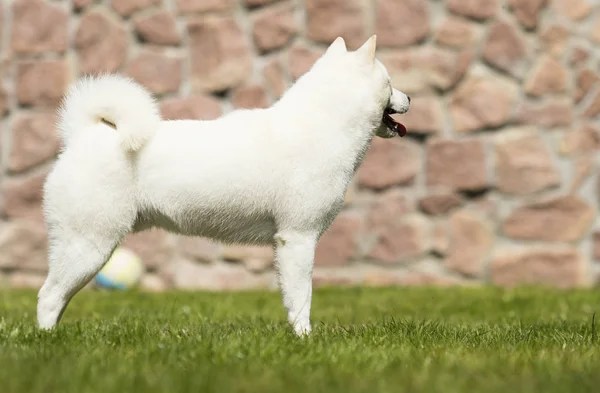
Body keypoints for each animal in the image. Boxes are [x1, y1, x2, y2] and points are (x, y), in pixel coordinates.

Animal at [37, 36, 410, 334]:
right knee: (48, 297)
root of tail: (84, 135)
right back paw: (48, 344)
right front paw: (305, 339)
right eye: (390, 83)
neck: (322, 124)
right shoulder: (298, 237)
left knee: (58, 297)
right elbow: (302, 297)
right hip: (89, 244)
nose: (409, 99)